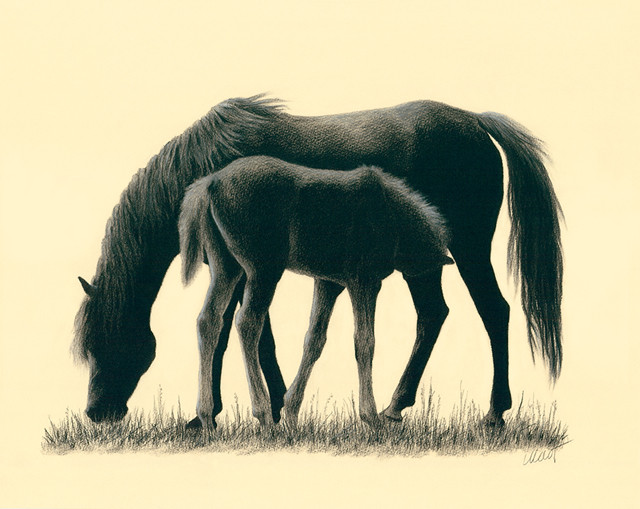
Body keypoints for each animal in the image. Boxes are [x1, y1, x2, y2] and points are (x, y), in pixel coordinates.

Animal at [178, 156, 453, 429]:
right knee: (247, 323)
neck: (389, 212)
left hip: (226, 268)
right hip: (263, 271)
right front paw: (371, 416)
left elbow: (314, 340)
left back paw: (206, 418)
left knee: (208, 321)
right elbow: (365, 342)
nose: (437, 307)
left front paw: (291, 413)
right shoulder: (364, 282)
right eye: (430, 276)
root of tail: (210, 182)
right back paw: (263, 414)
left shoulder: (328, 283)